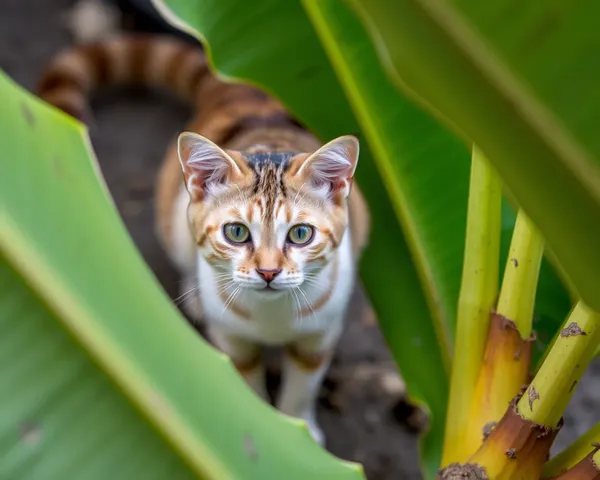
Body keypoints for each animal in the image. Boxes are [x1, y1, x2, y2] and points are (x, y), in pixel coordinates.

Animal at [38, 33, 370, 446]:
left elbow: (303, 385)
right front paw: (265, 429)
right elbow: (246, 385)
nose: (268, 272)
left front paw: (300, 429)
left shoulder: (321, 332)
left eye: (300, 234)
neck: (271, 316)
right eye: (237, 232)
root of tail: (241, 91)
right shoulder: (230, 339)